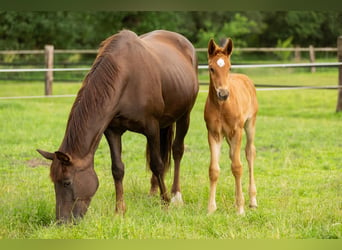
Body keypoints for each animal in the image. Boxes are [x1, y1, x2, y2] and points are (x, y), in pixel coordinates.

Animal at [36, 29, 198, 223]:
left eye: (67, 182)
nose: (62, 221)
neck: (126, 77)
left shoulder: (151, 128)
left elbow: (157, 164)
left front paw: (165, 203)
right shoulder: (112, 131)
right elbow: (118, 169)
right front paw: (119, 210)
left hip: (184, 116)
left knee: (177, 151)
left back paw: (175, 195)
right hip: (164, 123)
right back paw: (153, 191)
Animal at [204, 38, 258, 214]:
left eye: (229, 67)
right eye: (211, 68)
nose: (223, 94)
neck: (222, 107)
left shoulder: (237, 131)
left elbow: (237, 167)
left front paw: (240, 209)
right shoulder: (214, 134)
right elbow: (214, 170)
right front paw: (211, 208)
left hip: (250, 125)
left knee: (249, 153)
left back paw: (252, 200)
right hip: (228, 136)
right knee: (232, 155)